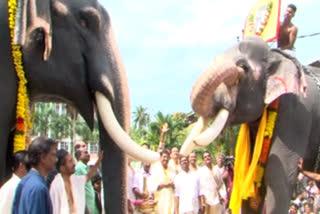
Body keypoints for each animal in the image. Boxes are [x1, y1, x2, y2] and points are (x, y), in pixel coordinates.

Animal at [181, 36, 320, 213]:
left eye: (243, 67)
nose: (187, 120)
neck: (275, 56)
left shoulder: (297, 113)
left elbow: (277, 172)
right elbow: (247, 171)